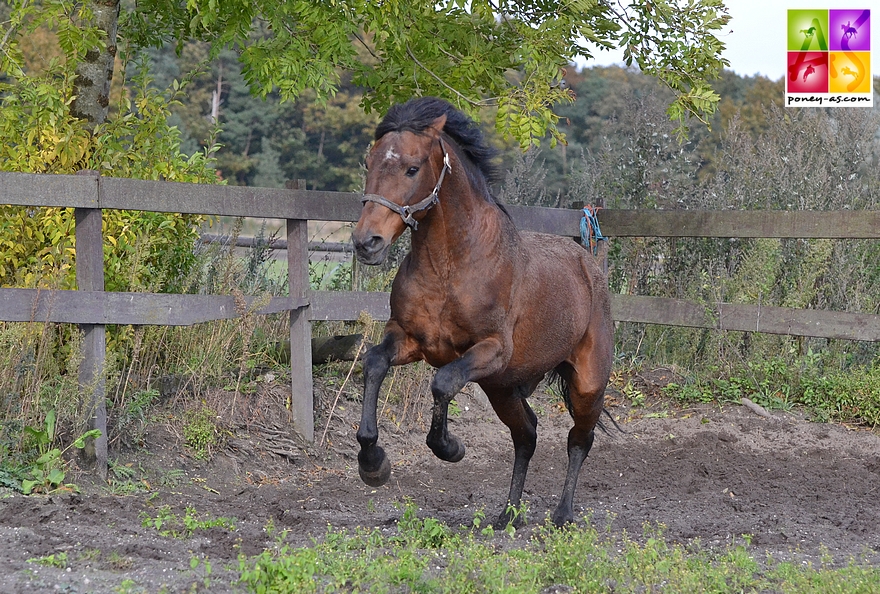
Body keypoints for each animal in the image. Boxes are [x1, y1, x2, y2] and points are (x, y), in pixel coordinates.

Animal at [350, 97, 612, 528]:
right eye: (368, 163)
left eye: (412, 168)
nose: (366, 242)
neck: (451, 266)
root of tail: (589, 263)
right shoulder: (410, 338)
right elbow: (373, 363)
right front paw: (373, 464)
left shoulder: (490, 349)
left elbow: (442, 383)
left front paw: (450, 447)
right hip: (501, 388)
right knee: (527, 436)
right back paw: (508, 515)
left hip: (586, 382)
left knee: (579, 440)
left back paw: (562, 514)